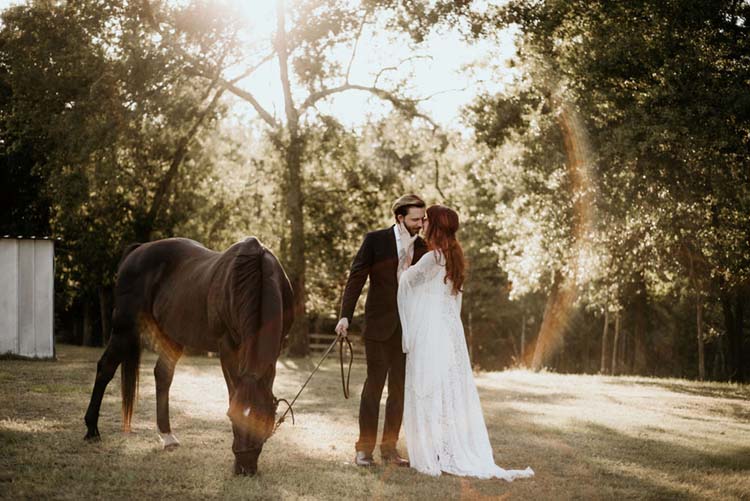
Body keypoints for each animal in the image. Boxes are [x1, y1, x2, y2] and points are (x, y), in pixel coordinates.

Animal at [83, 236, 294, 474]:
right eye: (231, 416)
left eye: (263, 418)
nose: (244, 467)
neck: (253, 276)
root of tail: (137, 251)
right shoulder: (227, 347)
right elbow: (232, 392)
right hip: (124, 330)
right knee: (105, 368)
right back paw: (92, 430)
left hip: (172, 338)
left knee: (162, 375)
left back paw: (167, 437)